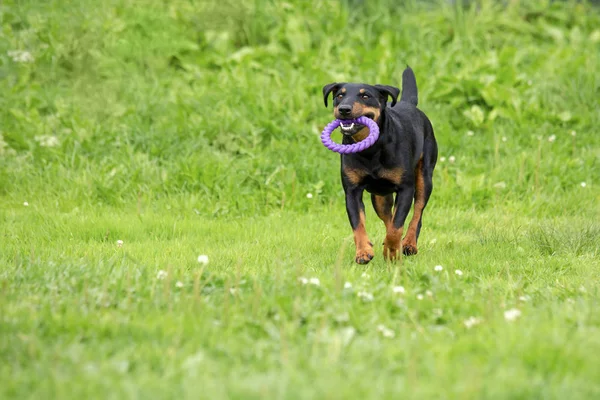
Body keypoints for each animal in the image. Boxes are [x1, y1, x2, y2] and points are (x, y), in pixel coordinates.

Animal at [322, 67, 438, 264]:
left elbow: (397, 226)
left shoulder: (405, 188)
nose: (344, 109)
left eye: (365, 96)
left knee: (417, 212)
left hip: (424, 177)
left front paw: (391, 252)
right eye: (339, 95)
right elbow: (358, 224)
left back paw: (409, 244)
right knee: (388, 217)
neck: (371, 150)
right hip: (379, 196)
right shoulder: (352, 191)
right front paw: (363, 252)